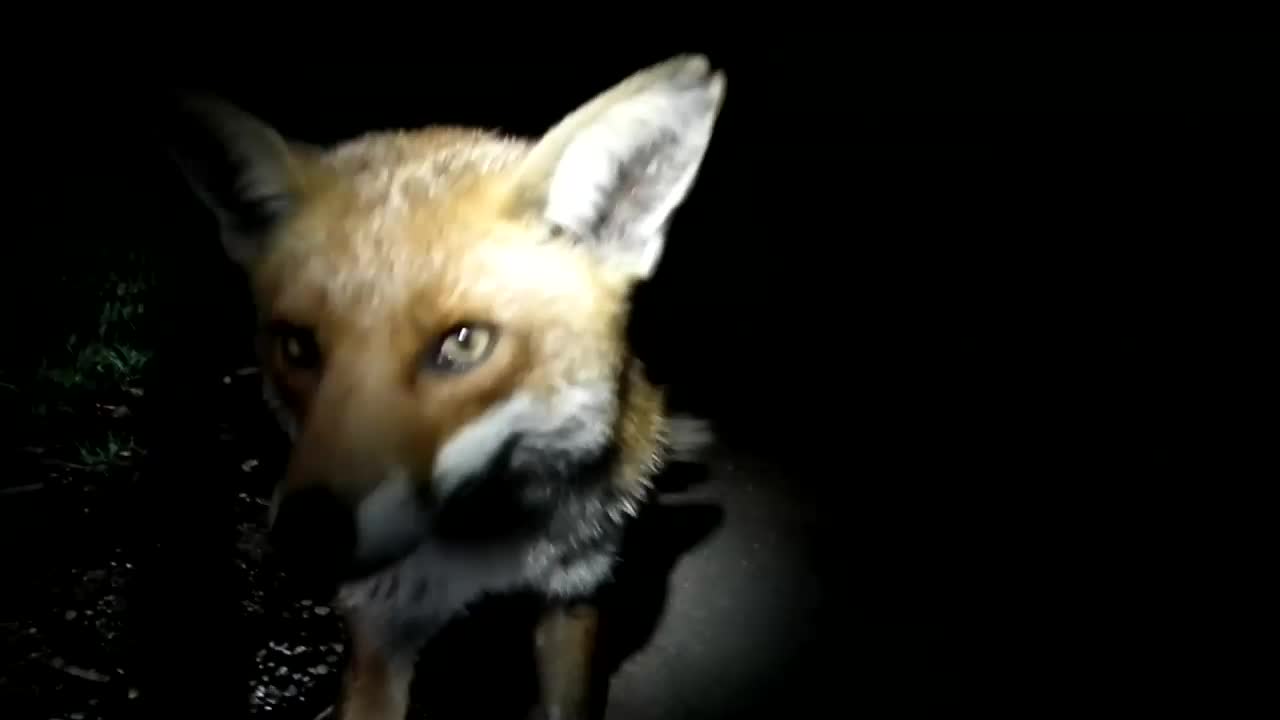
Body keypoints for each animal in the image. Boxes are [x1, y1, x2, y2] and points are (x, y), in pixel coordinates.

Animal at [169, 53, 726, 720]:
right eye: (298, 346)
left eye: (463, 343)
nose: (306, 537)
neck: (488, 548)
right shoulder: (379, 628)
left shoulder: (575, 595)